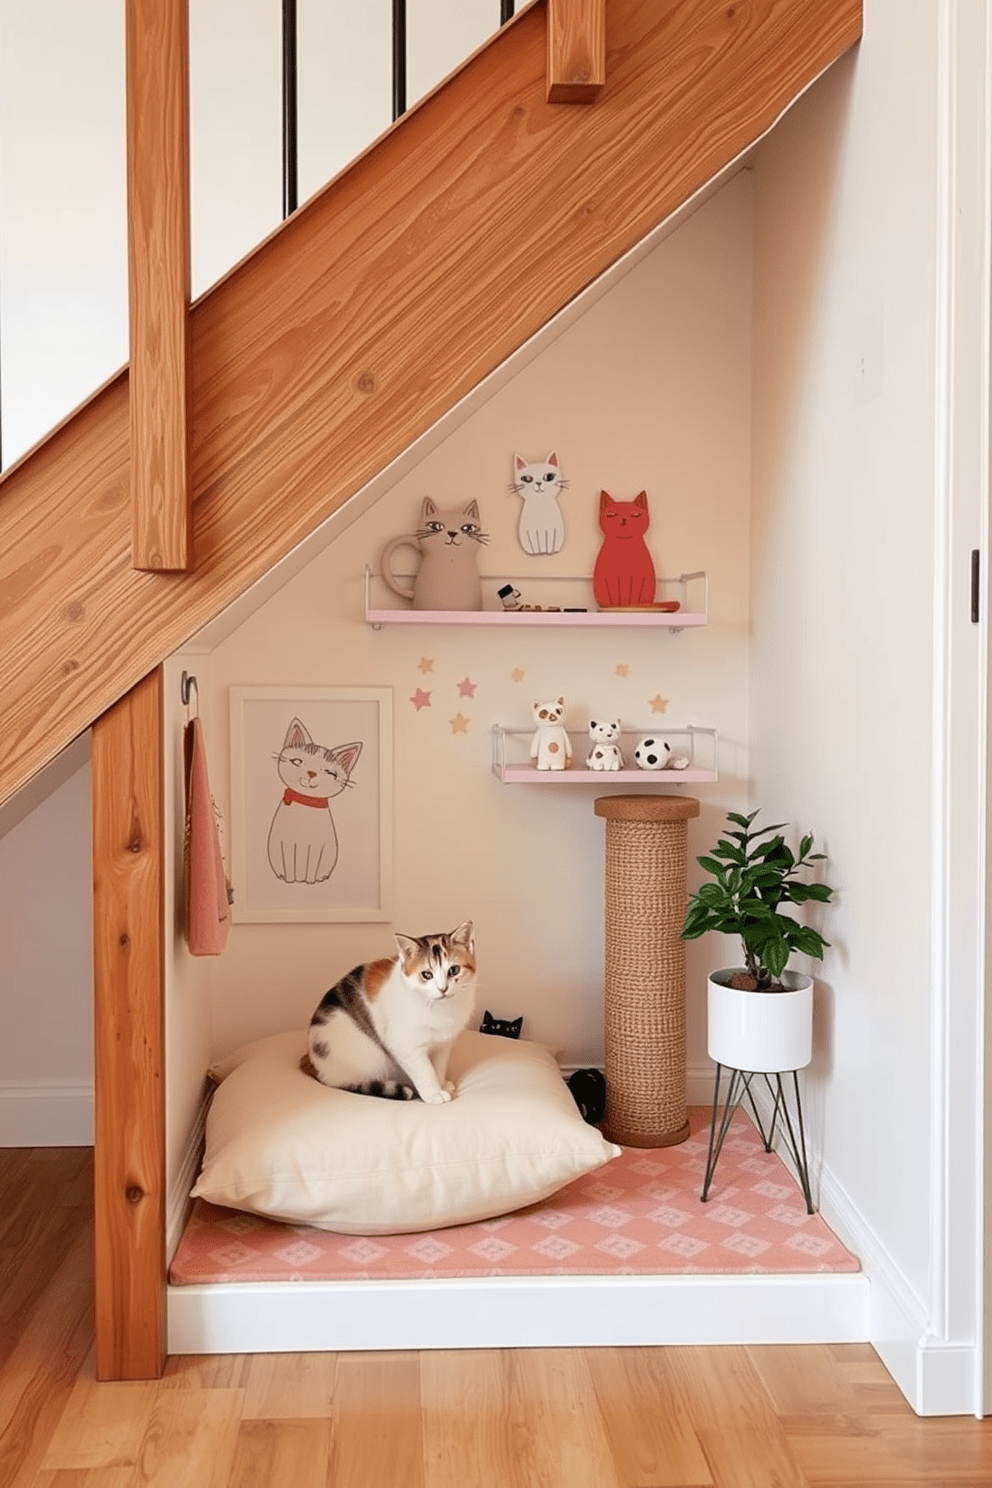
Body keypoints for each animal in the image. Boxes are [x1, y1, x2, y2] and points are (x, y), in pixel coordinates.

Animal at [266, 720, 362, 880]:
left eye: (330, 772)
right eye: (297, 761)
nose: (311, 772)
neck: (306, 801)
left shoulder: (317, 849)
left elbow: (311, 867)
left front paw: (309, 881)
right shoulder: (286, 845)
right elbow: (290, 864)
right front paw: (291, 880)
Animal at [304, 922, 478, 1101]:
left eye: (454, 970)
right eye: (426, 974)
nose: (443, 989)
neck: (440, 1007)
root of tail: (312, 1061)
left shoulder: (443, 1044)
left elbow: (438, 1067)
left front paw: (441, 1084)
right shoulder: (404, 1045)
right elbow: (426, 1071)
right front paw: (433, 1094)